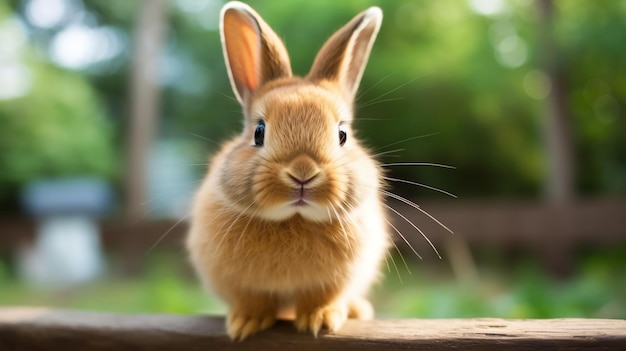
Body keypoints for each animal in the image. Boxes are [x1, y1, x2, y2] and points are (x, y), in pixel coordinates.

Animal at [185, 0, 388, 340]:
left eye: (342, 135)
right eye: (259, 132)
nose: (302, 172)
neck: (295, 219)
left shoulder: (335, 281)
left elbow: (323, 298)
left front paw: (320, 320)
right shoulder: (242, 283)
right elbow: (253, 300)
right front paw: (245, 323)